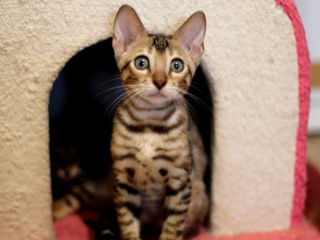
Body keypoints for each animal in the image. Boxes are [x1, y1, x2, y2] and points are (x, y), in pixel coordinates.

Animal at [110, 4, 210, 239]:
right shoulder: (124, 179)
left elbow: (173, 226)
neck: (149, 125)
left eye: (177, 65)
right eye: (141, 62)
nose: (159, 81)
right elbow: (127, 222)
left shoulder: (180, 181)